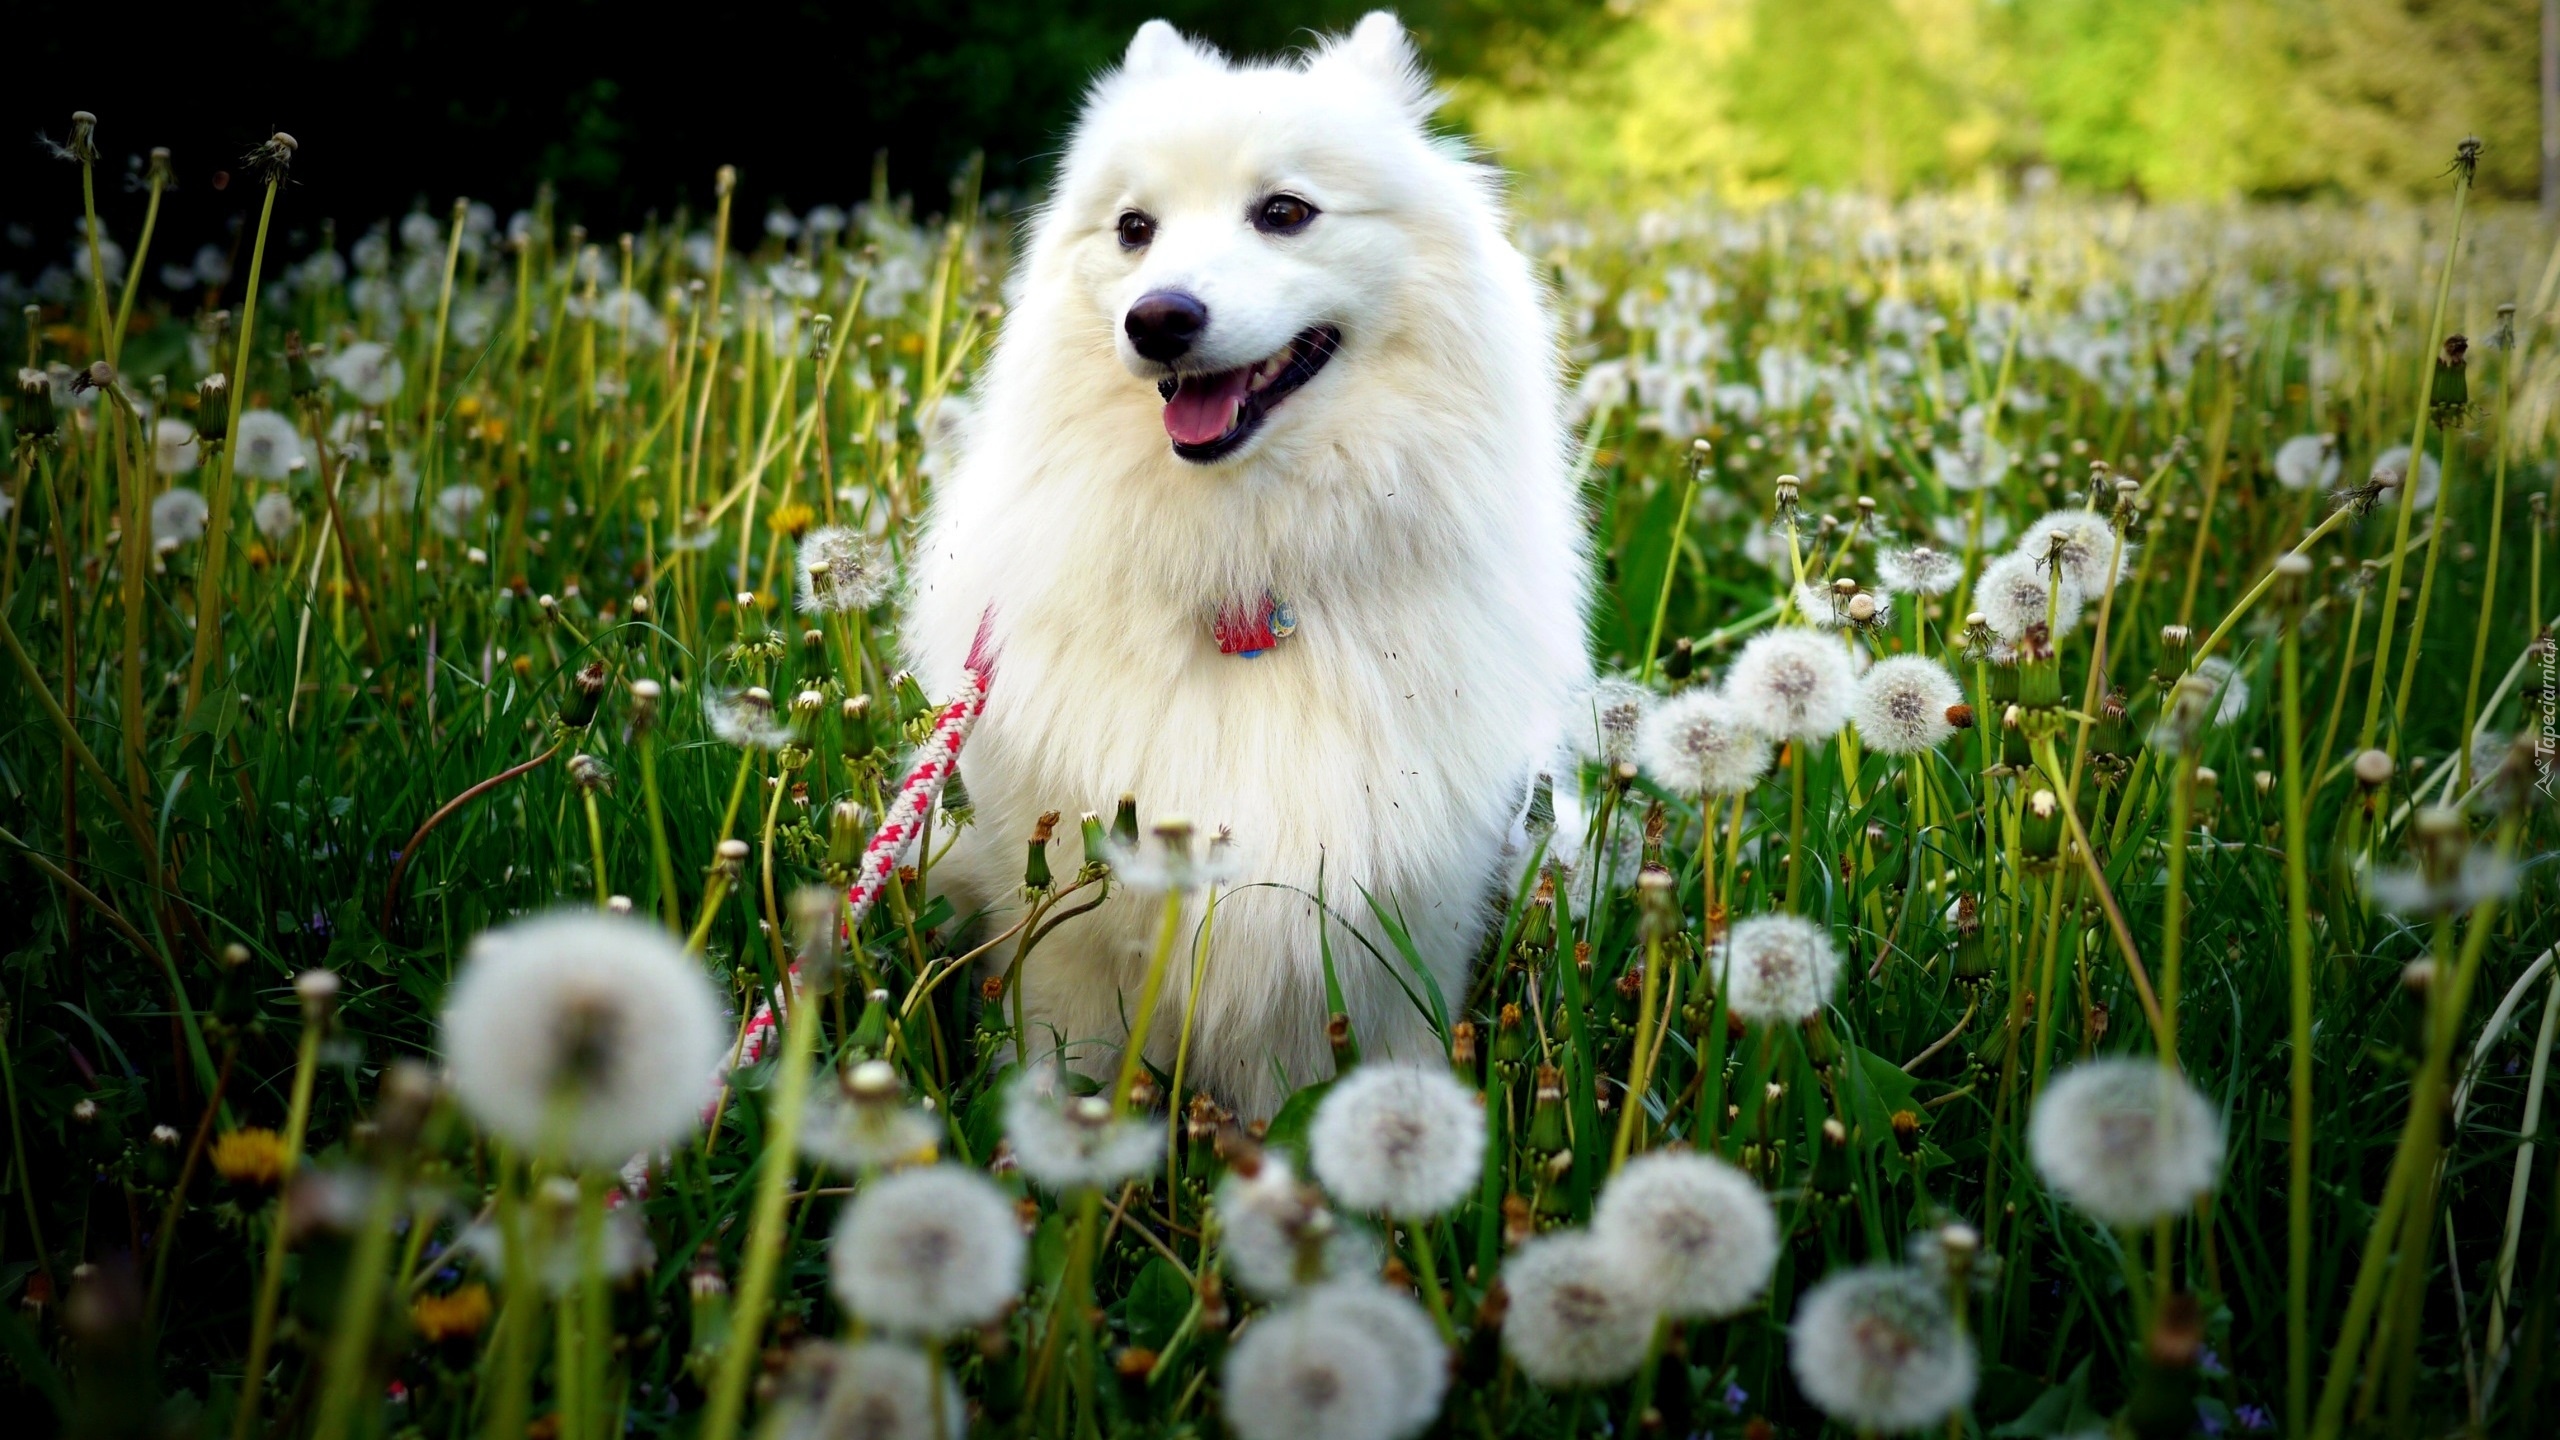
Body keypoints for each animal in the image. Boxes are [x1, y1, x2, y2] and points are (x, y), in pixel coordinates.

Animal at [901, 8, 1576, 1112]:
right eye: (1134, 229)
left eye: (1285, 212)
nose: (1157, 318)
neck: (1247, 569)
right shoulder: (1067, 932)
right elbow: (1063, 1074)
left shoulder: (1402, 933)